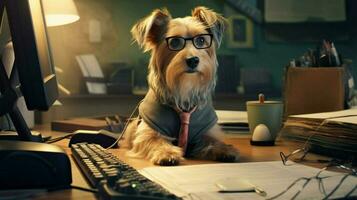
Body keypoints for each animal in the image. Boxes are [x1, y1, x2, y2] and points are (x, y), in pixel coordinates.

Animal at [124, 6, 239, 166]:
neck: (184, 89)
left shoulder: (206, 131)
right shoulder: (148, 131)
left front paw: (225, 149)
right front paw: (166, 152)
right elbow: (155, 140)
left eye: (201, 40)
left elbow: (214, 141)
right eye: (175, 42)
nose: (193, 60)